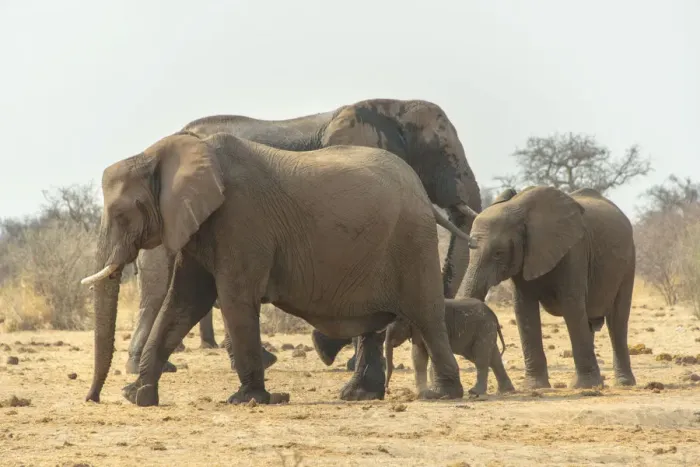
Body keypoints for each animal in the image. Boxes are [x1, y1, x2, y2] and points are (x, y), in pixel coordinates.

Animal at [81, 130, 466, 406]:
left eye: (121, 214)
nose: (93, 398)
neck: (160, 154)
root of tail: (424, 196)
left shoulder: (241, 220)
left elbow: (234, 300)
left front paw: (249, 400)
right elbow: (184, 302)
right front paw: (139, 396)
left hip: (412, 241)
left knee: (428, 315)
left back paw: (443, 394)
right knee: (375, 321)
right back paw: (359, 395)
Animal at [384, 298, 514, 396]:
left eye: (400, 322)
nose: (387, 390)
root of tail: (493, 315)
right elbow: (418, 356)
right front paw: (422, 392)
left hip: (484, 329)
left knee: (481, 358)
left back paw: (475, 392)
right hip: (486, 330)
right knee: (494, 358)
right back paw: (505, 391)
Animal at [462, 186, 637, 389]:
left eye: (499, 253)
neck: (520, 209)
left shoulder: (575, 250)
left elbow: (571, 305)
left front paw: (585, 386)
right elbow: (524, 309)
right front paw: (534, 387)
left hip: (628, 262)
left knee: (617, 320)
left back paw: (623, 383)